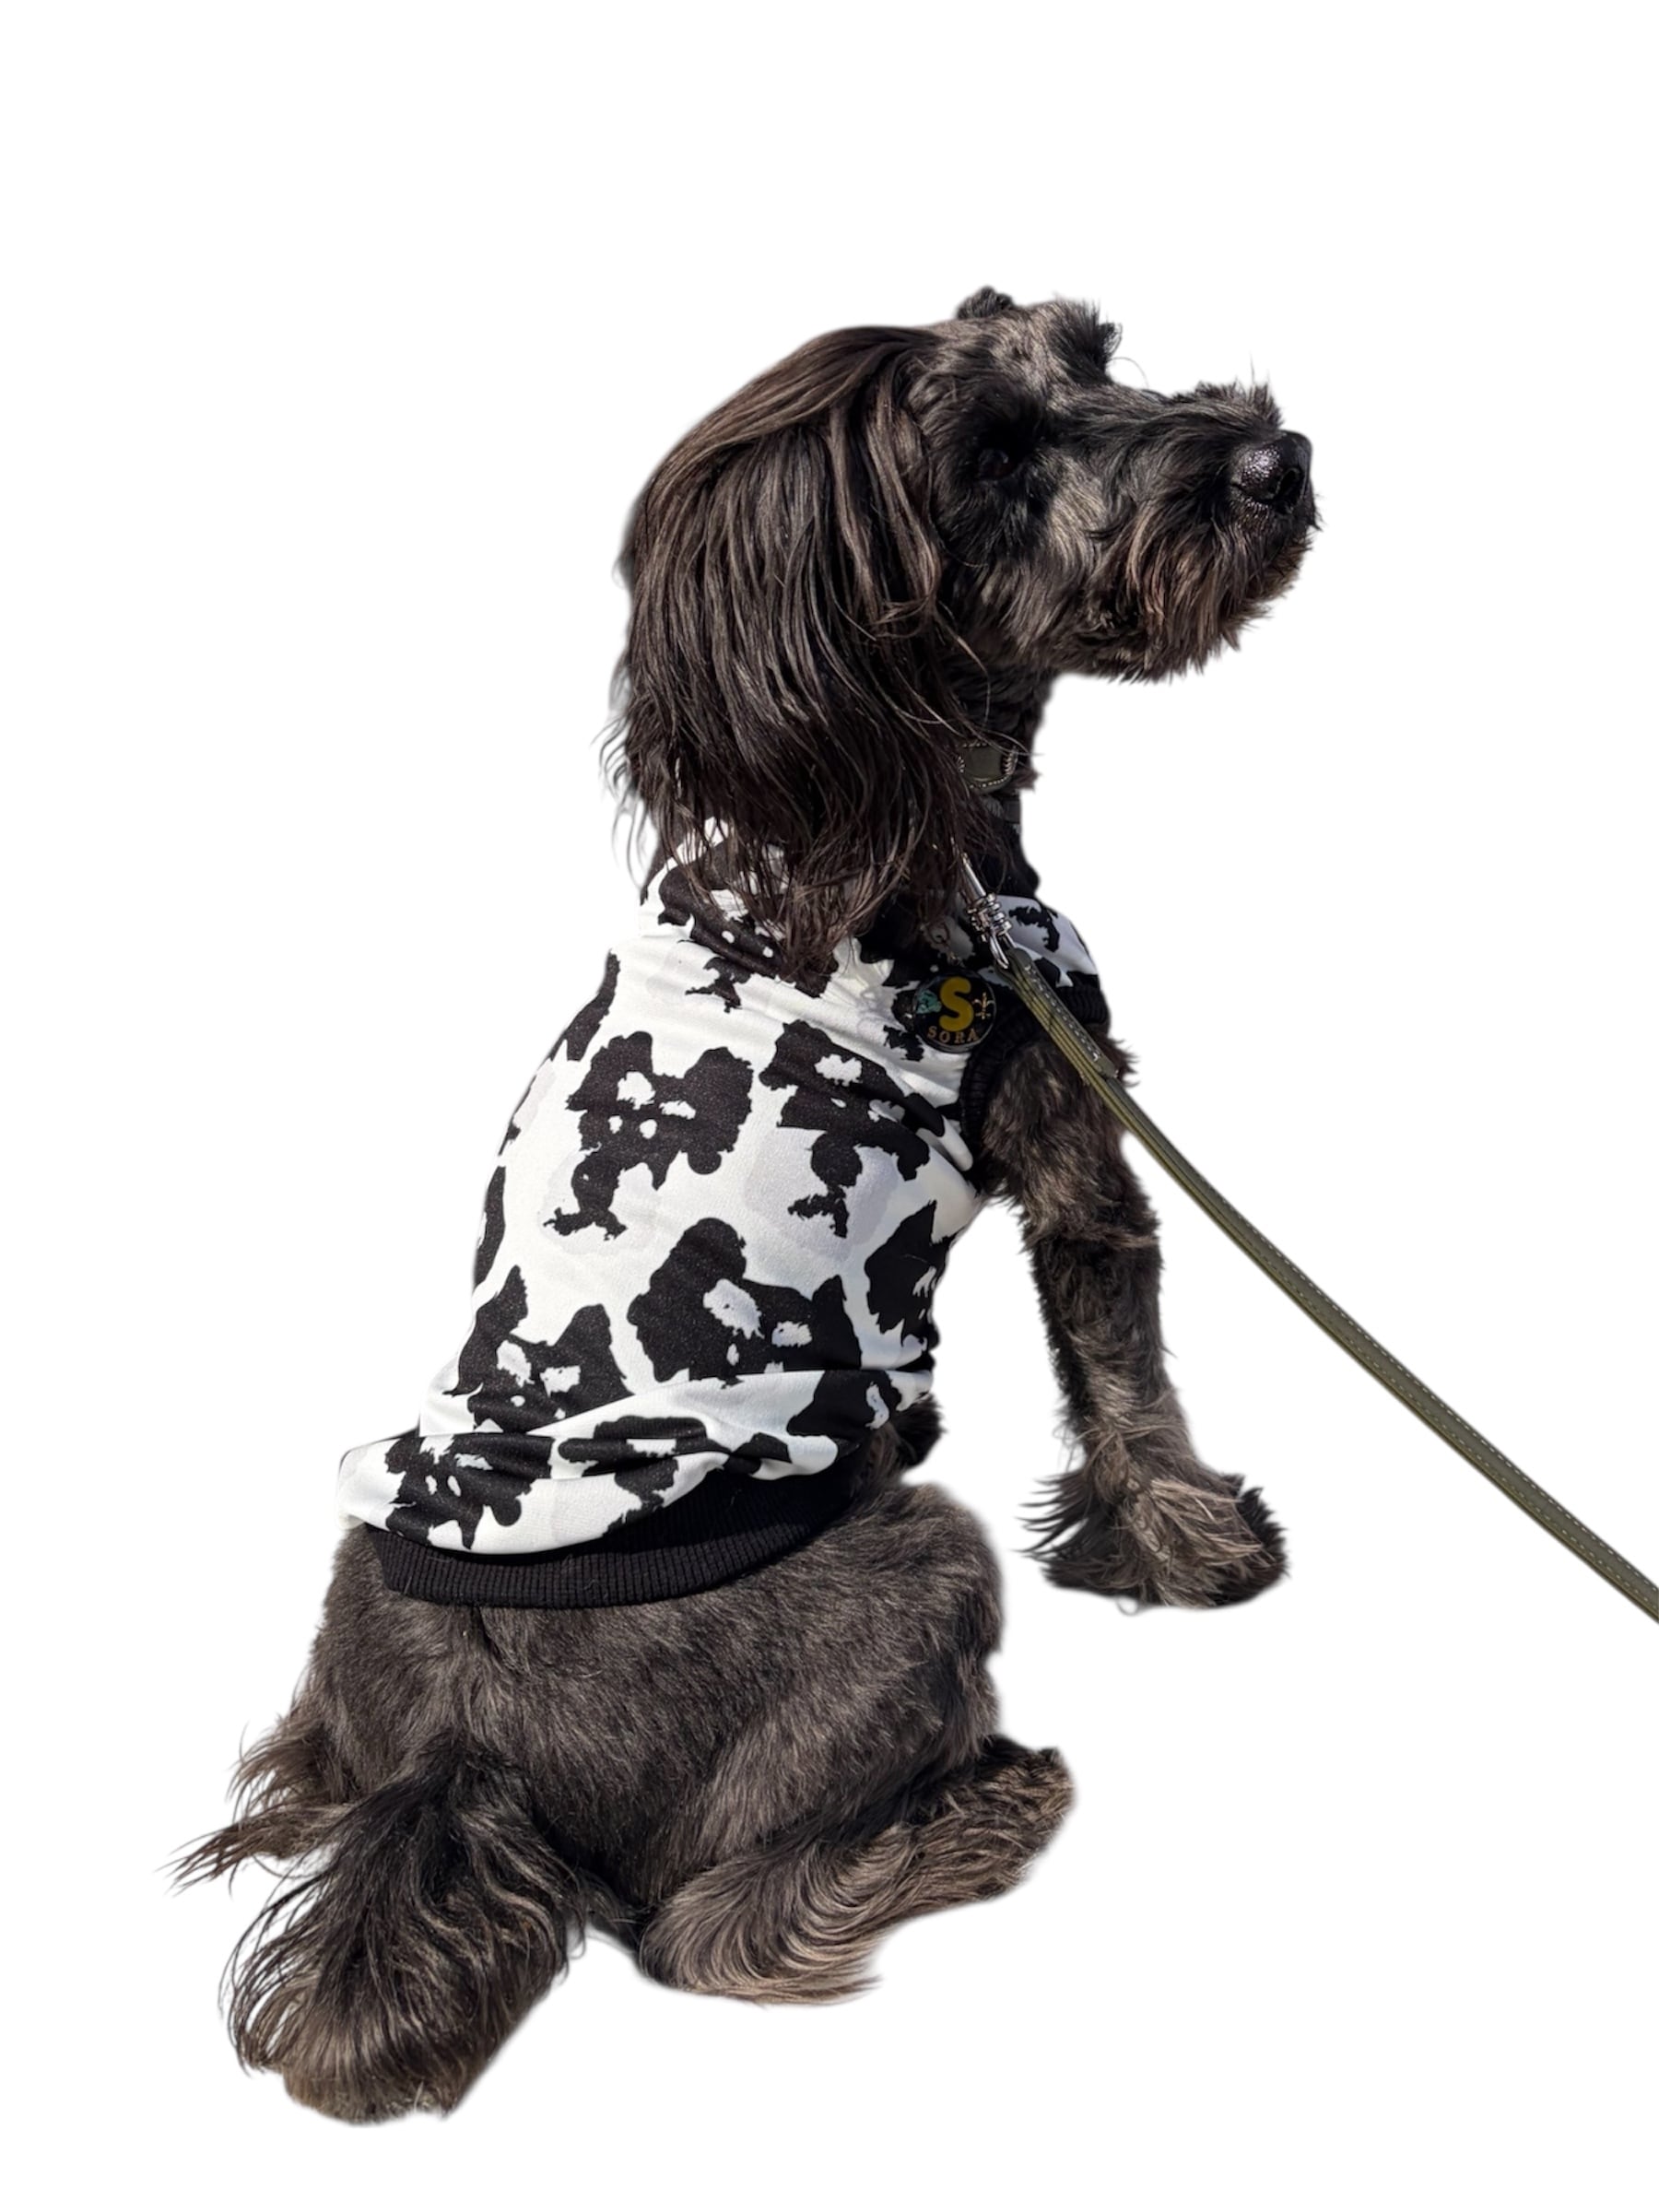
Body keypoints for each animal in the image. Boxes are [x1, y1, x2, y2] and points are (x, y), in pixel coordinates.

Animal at [178, 287, 1316, 2121]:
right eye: (994, 459)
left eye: (1094, 350)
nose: (1277, 461)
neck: (884, 821)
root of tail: (456, 1765)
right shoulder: (1069, 1121)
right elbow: (1129, 1372)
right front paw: (1198, 1552)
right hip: (913, 1559)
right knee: (706, 1932)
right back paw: (979, 1808)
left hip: (347, 1622)